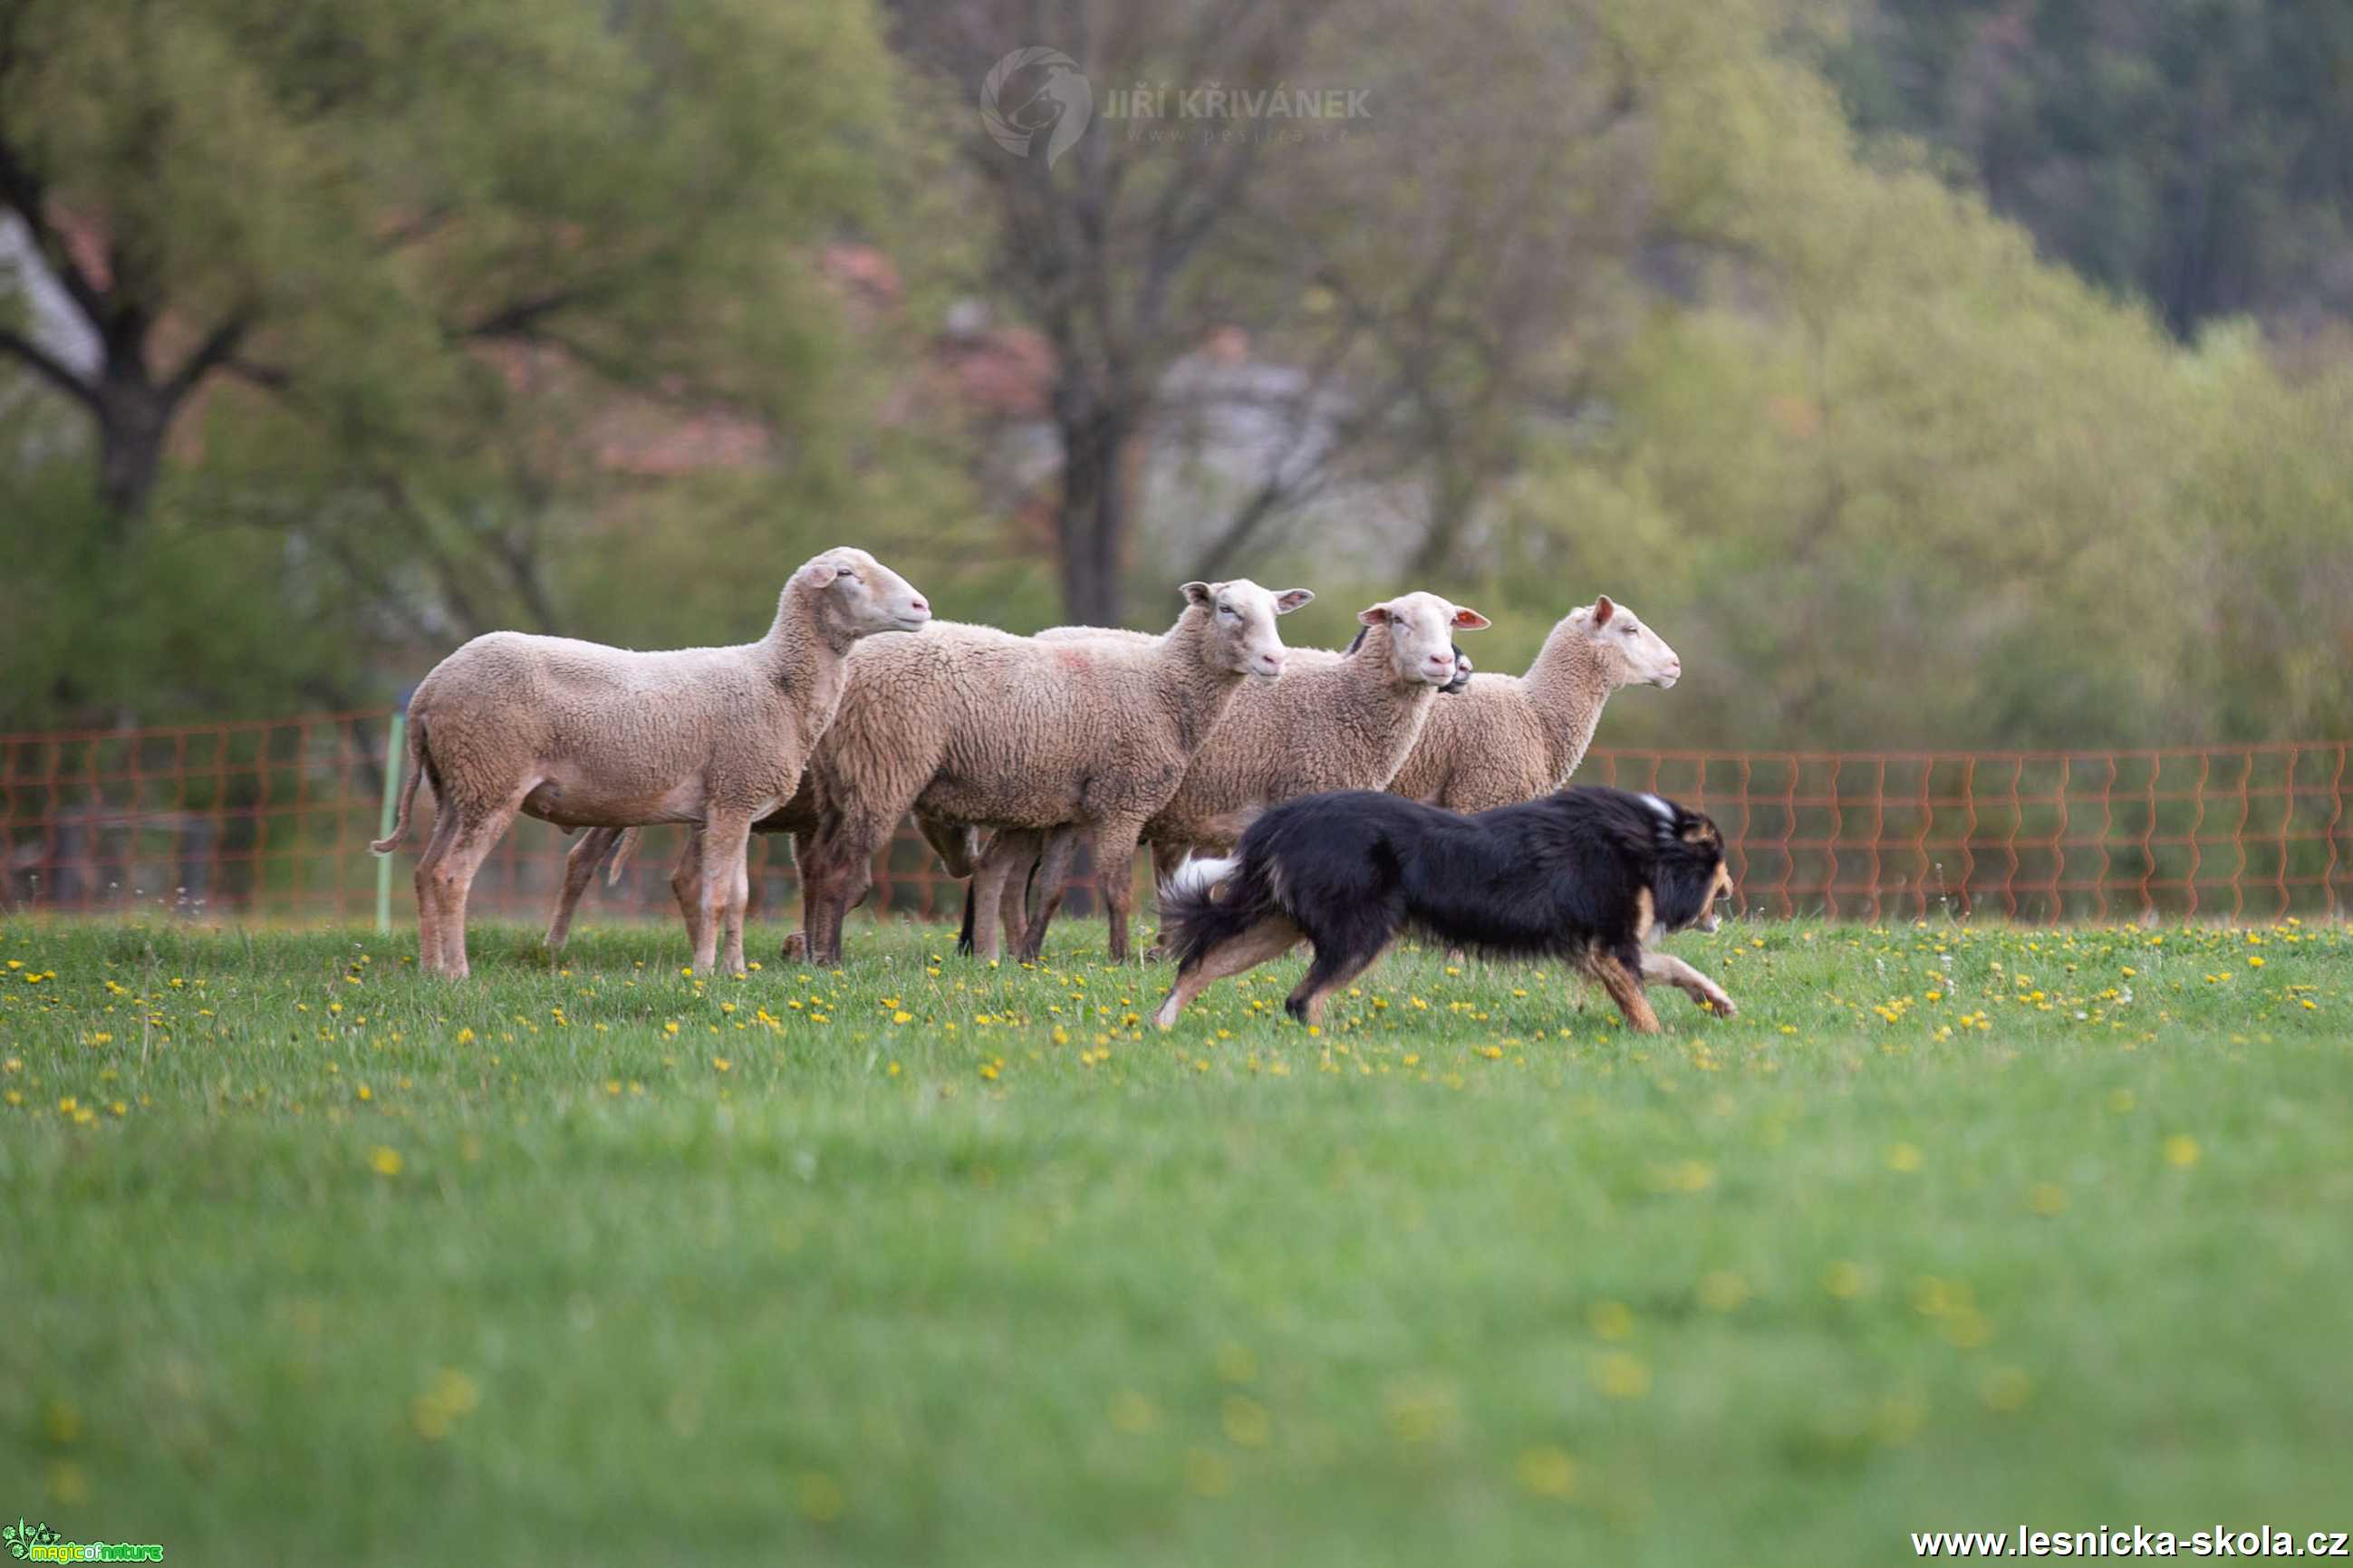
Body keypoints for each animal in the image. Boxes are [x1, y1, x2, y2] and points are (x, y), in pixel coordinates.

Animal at [371, 545, 922, 973]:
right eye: (846, 574)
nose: (921, 605)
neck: (776, 681)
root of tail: (429, 688)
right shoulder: (733, 796)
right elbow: (715, 897)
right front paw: (705, 972)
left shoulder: (734, 804)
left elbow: (739, 897)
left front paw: (736, 970)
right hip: (491, 776)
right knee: (451, 875)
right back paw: (458, 973)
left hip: (456, 786)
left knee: (425, 871)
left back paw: (430, 968)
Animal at [1148, 780, 1741, 1029]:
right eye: (1722, 861)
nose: (1733, 889)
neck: (1651, 845)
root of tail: (1281, 821)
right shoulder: (1607, 947)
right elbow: (1642, 1003)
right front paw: (1659, 1045)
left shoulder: (1602, 947)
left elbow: (1674, 966)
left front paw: (1717, 1002)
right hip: (1362, 932)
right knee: (1302, 999)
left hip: (1277, 925)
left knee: (1197, 966)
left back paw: (1161, 1028)